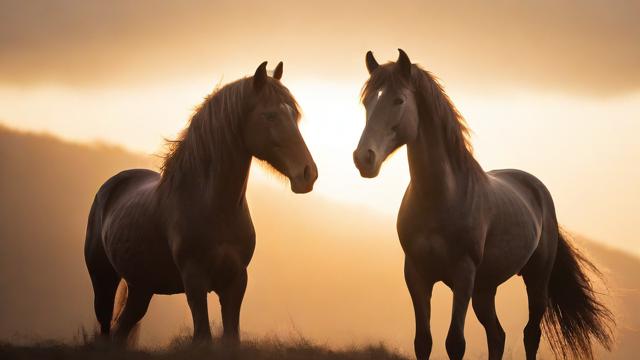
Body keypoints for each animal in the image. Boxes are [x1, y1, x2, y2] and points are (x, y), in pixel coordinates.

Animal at [84, 60, 318, 344]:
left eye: (294, 115)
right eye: (270, 115)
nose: (308, 173)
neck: (213, 207)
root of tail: (111, 186)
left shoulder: (236, 281)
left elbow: (231, 337)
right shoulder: (195, 281)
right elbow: (203, 337)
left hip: (142, 287)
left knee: (123, 329)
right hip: (104, 279)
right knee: (106, 326)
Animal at [352, 50, 612, 360]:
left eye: (398, 100)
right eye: (367, 101)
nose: (363, 158)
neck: (440, 197)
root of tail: (536, 188)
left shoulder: (463, 275)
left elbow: (455, 342)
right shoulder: (416, 275)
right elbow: (423, 342)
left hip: (535, 280)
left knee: (530, 334)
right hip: (485, 290)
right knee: (497, 335)